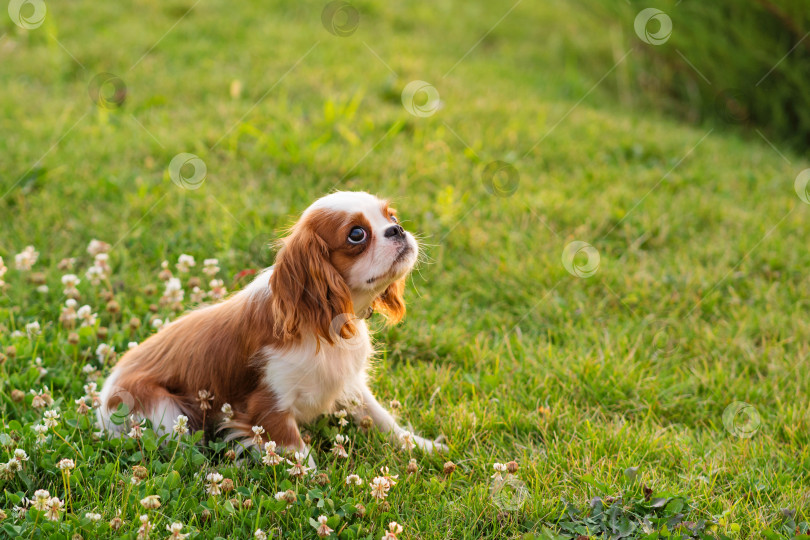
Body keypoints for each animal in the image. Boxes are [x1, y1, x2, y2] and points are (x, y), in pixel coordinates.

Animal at [99, 192, 448, 458]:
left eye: (392, 216)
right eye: (357, 234)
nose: (398, 229)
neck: (325, 324)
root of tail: (101, 403)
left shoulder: (350, 382)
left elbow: (382, 417)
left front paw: (423, 446)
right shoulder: (268, 405)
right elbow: (301, 456)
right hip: (165, 411)